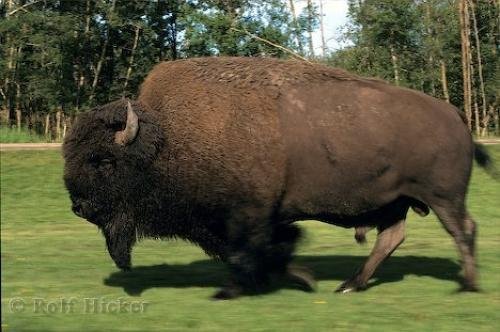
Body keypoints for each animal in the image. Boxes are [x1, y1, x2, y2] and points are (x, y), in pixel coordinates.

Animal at [62, 56, 492, 298]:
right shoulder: (234, 222)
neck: (167, 137)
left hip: (442, 197)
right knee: (392, 237)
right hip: (396, 201)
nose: (79, 206)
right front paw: (300, 277)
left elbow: (248, 251)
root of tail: (455, 114)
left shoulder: (247, 214)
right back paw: (350, 285)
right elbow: (259, 250)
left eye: (104, 161)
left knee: (463, 229)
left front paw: (230, 291)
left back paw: (467, 286)